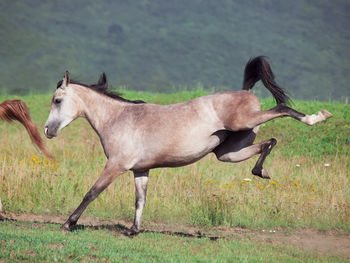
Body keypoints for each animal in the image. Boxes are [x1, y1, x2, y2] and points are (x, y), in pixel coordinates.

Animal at [45, 56, 332, 235]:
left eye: (57, 100)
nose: (48, 130)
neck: (119, 118)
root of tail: (245, 92)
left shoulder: (116, 165)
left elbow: (91, 193)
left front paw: (68, 224)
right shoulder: (140, 170)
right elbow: (140, 199)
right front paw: (133, 230)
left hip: (245, 122)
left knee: (282, 108)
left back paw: (316, 117)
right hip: (228, 153)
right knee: (269, 143)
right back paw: (261, 171)